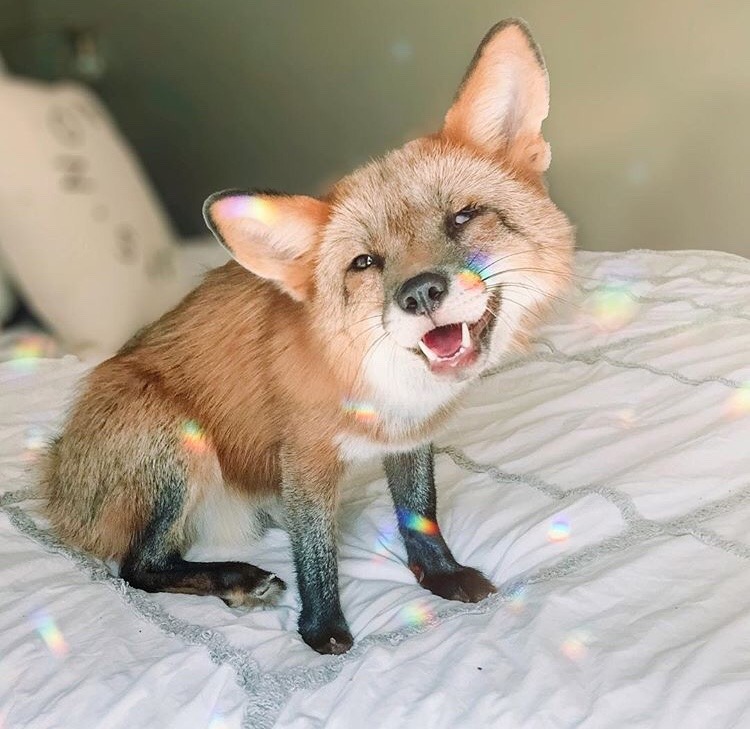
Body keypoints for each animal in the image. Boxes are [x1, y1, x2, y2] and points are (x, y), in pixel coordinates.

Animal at [41, 19, 573, 654]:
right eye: (365, 262)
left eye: (464, 217)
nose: (420, 294)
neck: (382, 382)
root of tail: (54, 480)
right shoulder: (303, 455)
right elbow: (315, 551)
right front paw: (323, 630)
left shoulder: (409, 435)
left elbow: (420, 513)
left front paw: (441, 574)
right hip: (173, 440)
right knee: (136, 568)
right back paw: (234, 579)